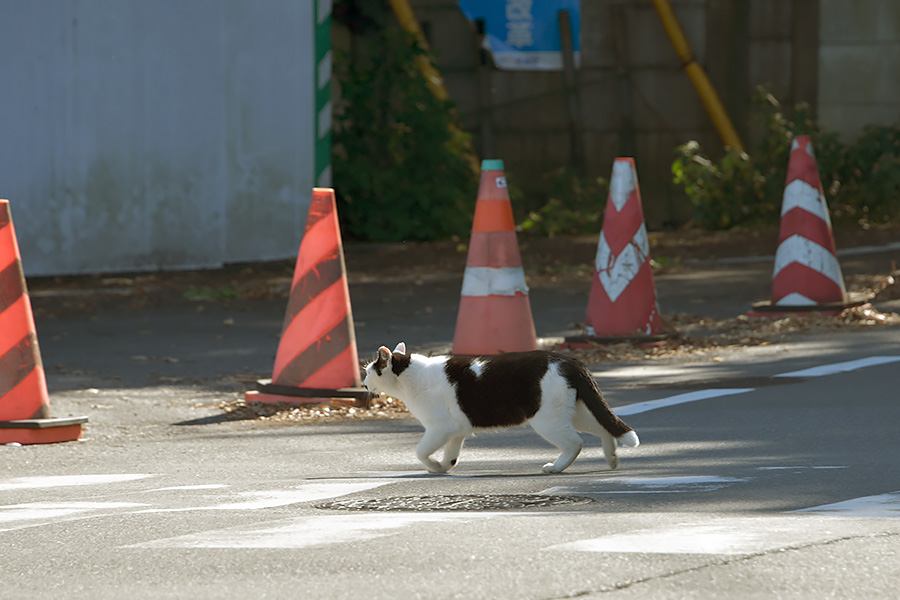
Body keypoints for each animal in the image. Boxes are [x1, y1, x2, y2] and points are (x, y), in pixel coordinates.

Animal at [362, 344, 636, 476]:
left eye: (368, 372)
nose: (363, 383)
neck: (409, 375)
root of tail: (571, 361)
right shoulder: (457, 430)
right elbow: (451, 455)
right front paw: (443, 467)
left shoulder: (440, 427)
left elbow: (420, 452)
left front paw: (433, 466)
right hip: (576, 412)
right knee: (604, 427)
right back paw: (611, 458)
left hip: (547, 419)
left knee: (575, 442)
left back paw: (556, 467)